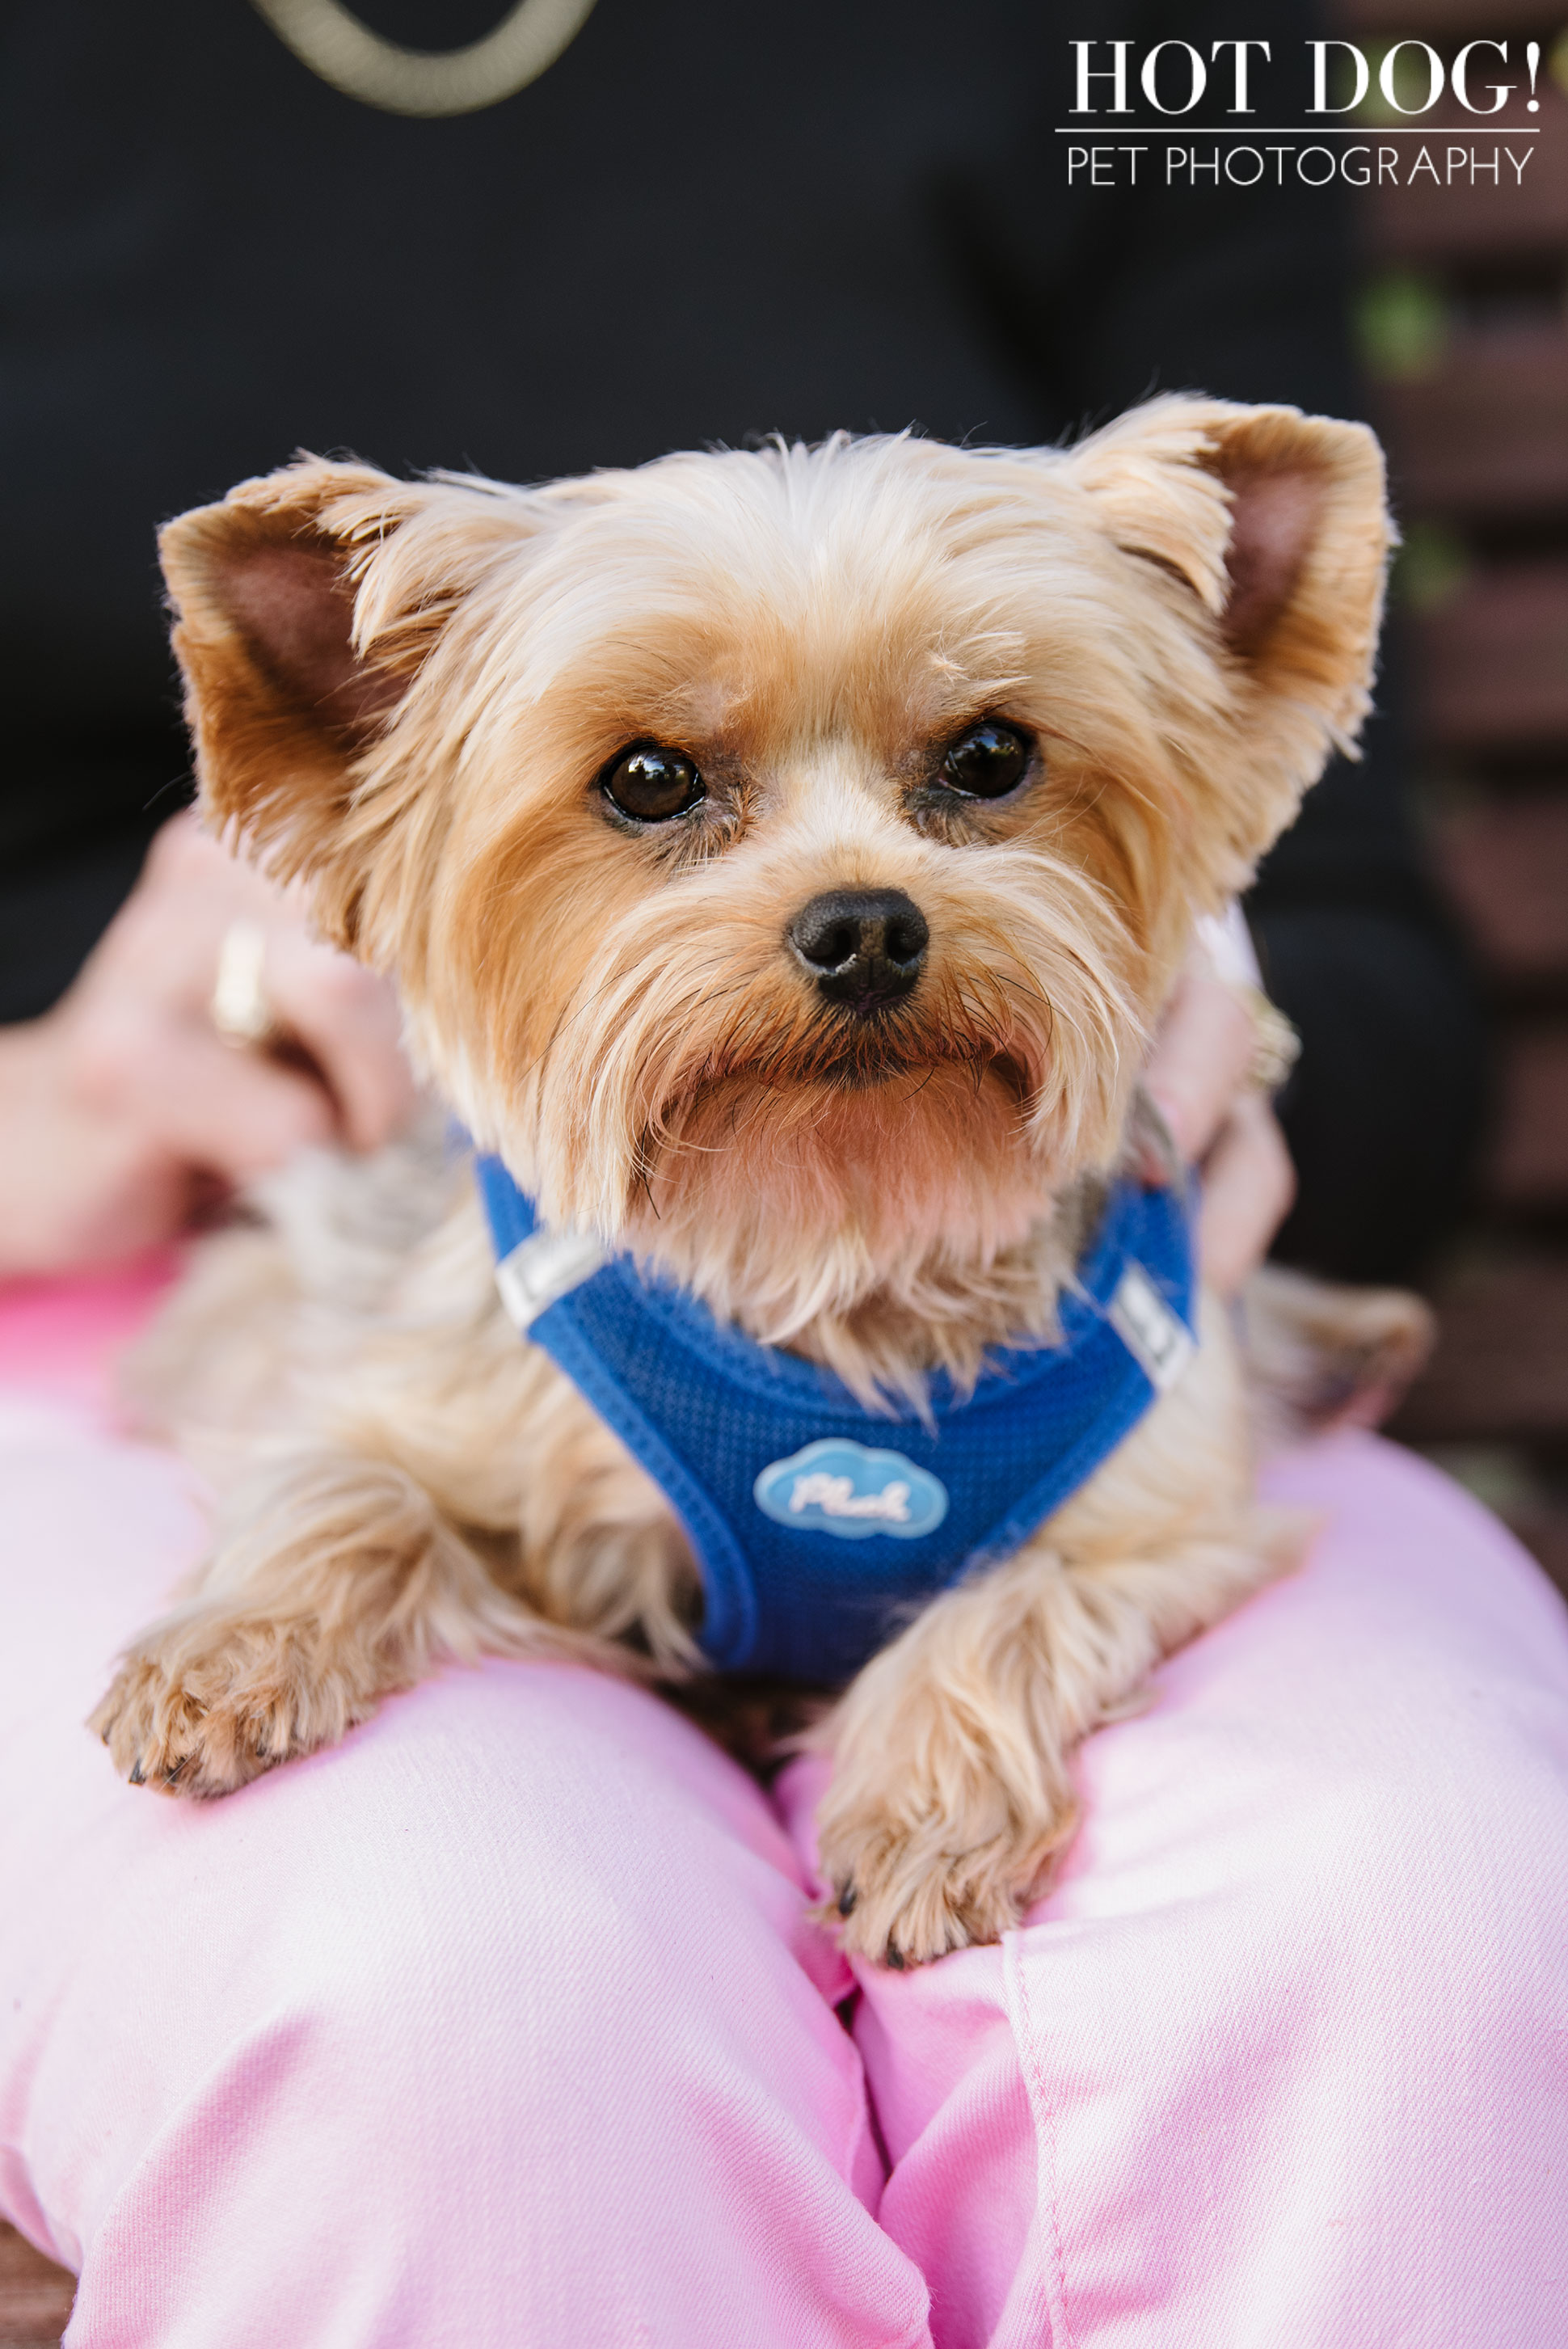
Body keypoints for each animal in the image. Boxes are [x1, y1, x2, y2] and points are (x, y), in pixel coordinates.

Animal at [91, 399, 1427, 1963]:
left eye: (990, 754)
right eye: (647, 778)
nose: (865, 926)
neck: (831, 1237)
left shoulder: (1161, 1516)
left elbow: (1013, 1602)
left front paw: (924, 1813)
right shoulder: (430, 1390)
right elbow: (343, 1481)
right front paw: (226, 1645)